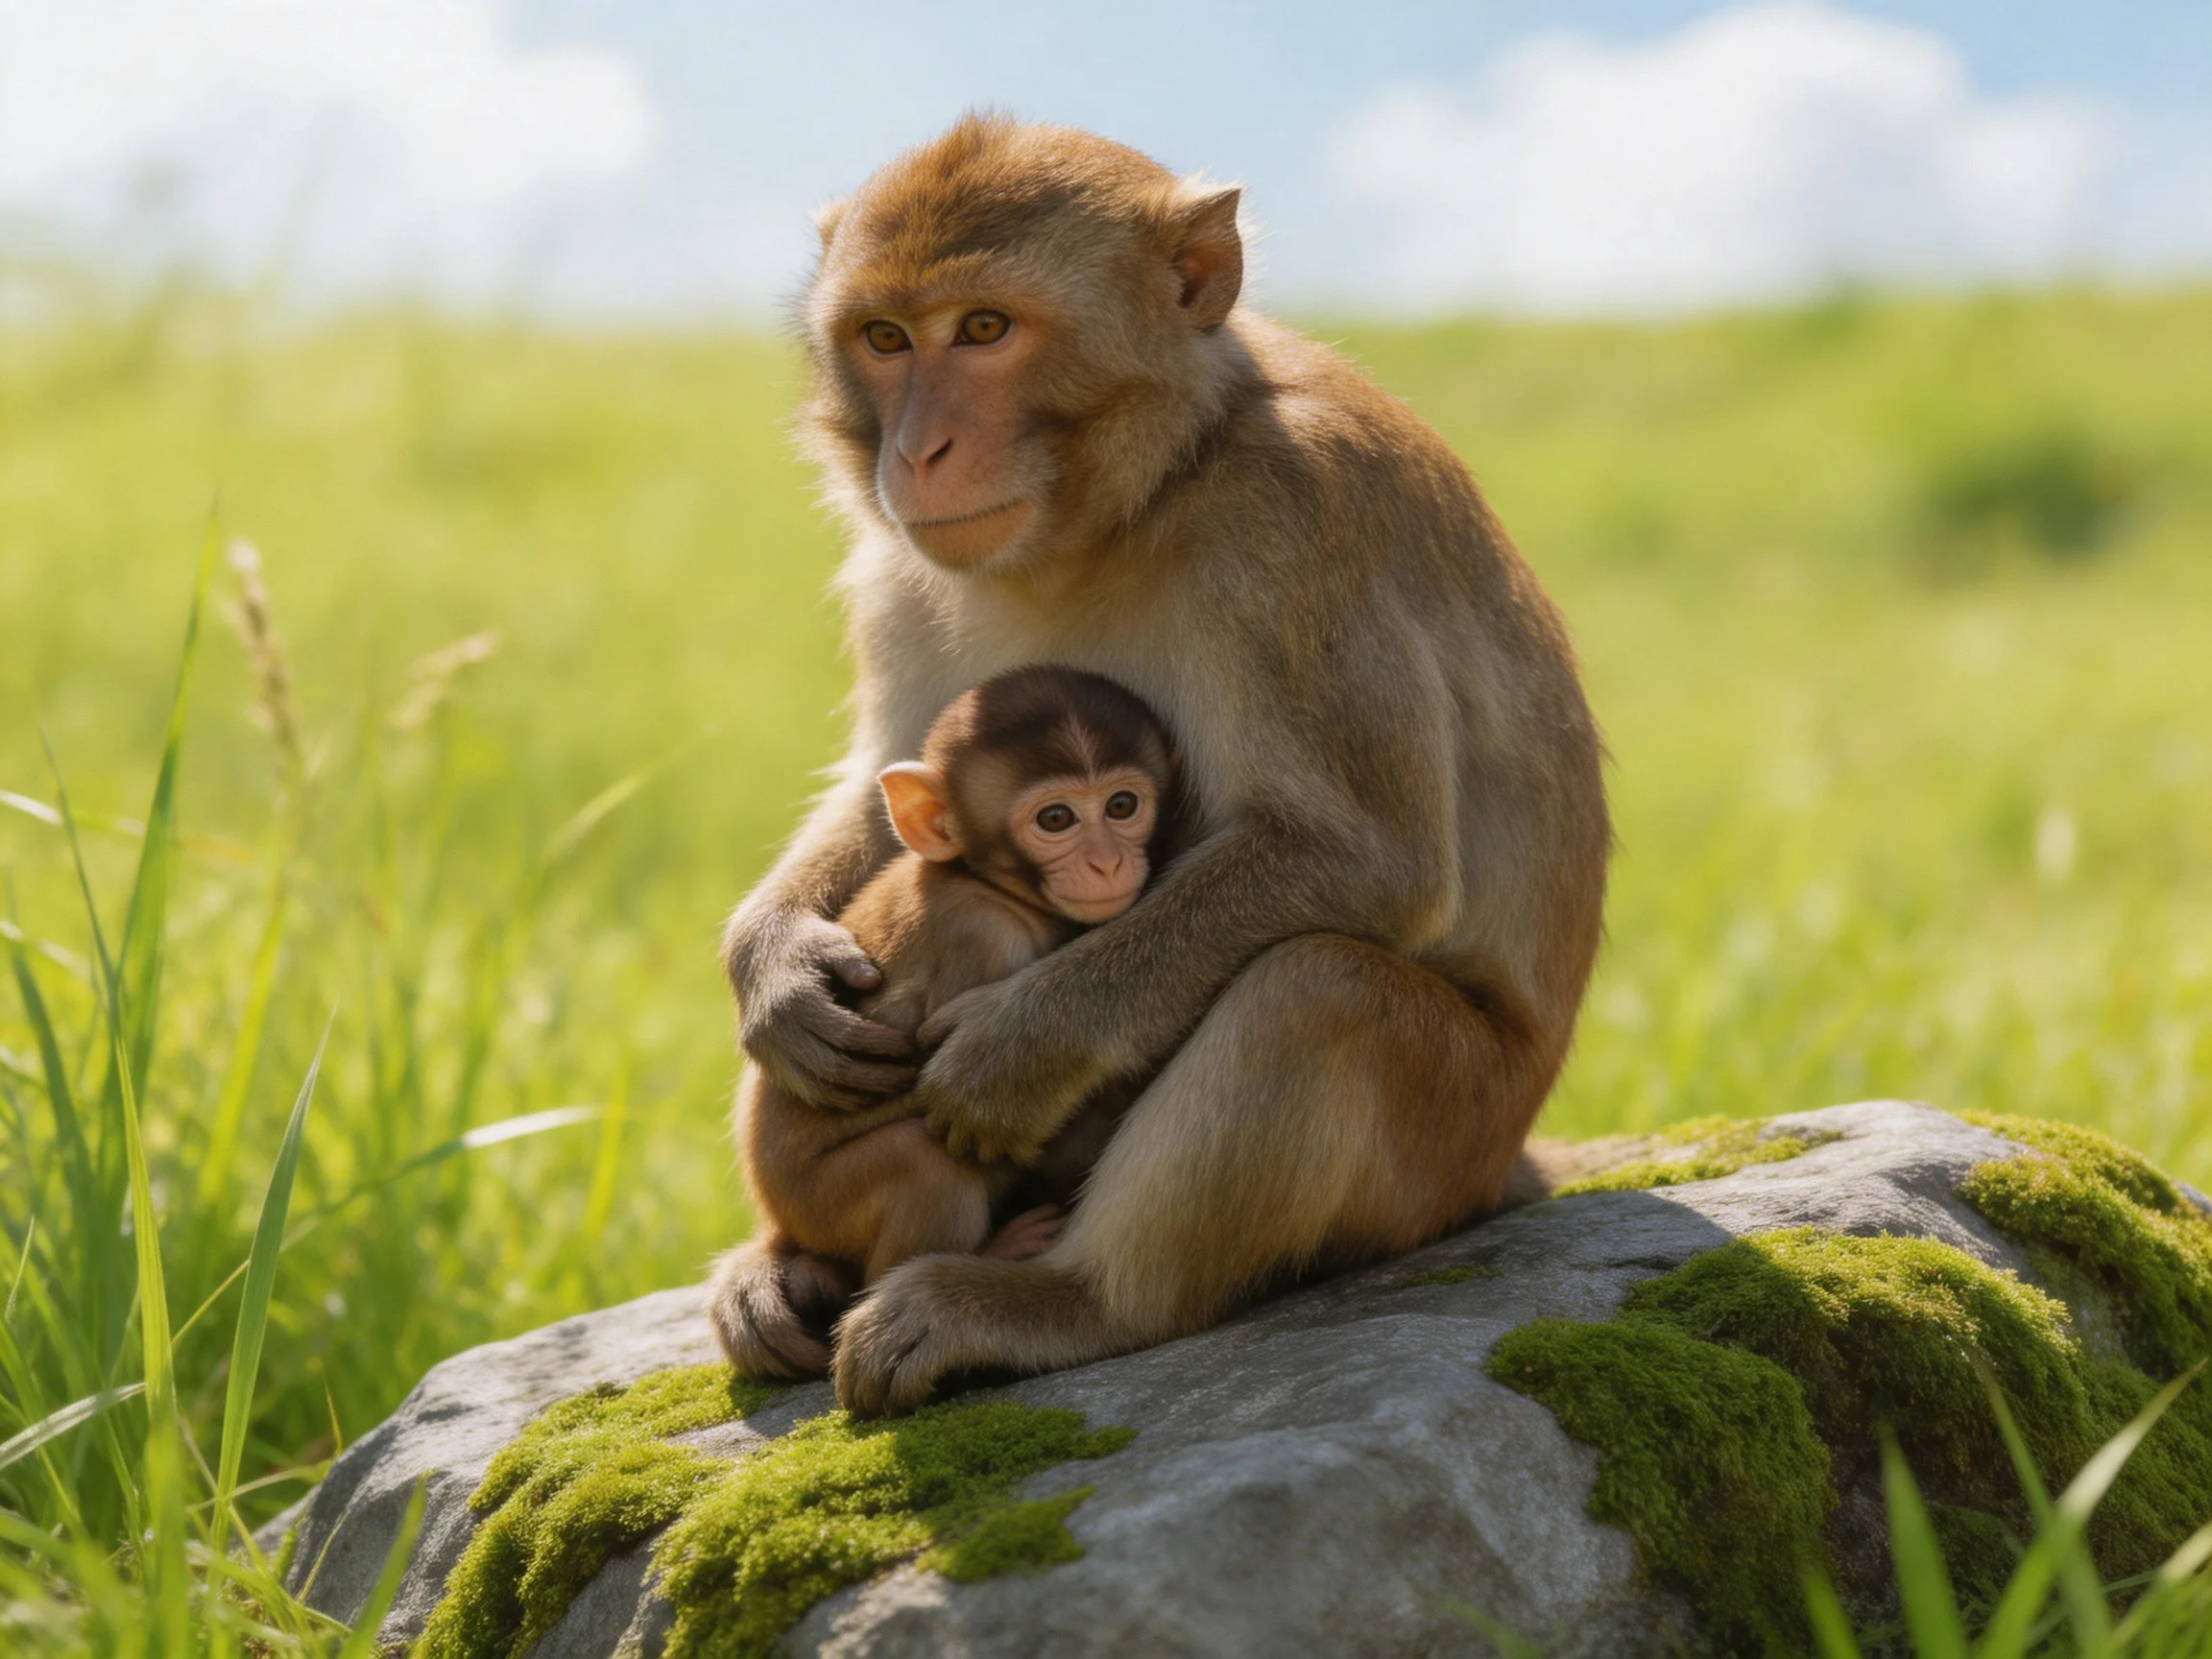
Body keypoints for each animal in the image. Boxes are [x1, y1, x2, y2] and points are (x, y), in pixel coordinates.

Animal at [710, 664, 1179, 1379]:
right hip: (816, 1206)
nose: (1107, 862)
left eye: (1122, 806)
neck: (983, 882)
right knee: (923, 1163)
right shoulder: (983, 941)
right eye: (1057, 818)